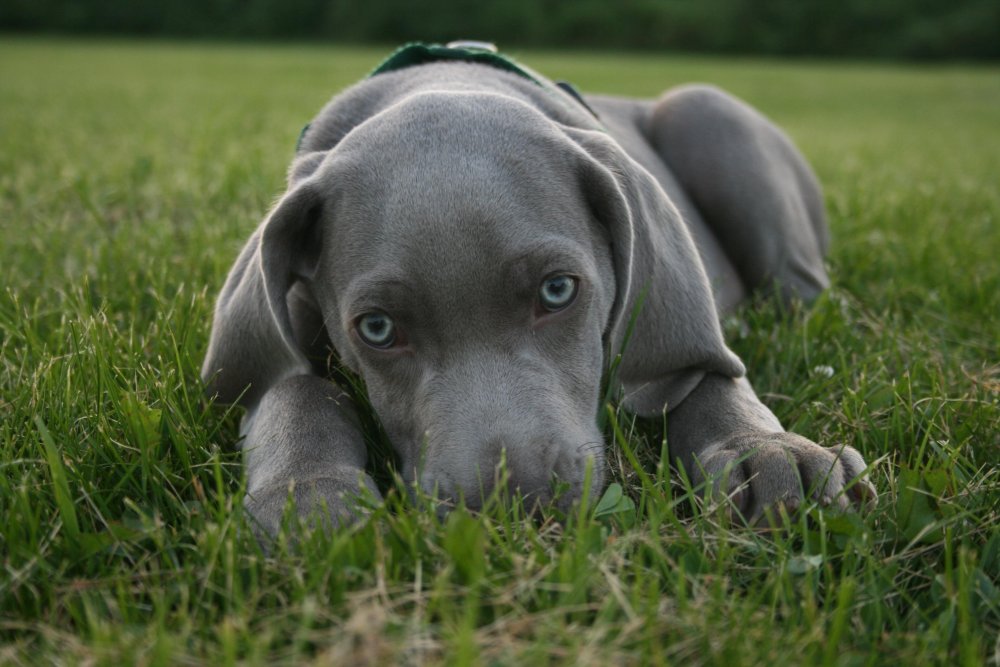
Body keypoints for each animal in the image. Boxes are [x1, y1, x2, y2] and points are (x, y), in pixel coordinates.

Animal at [201, 43, 876, 536]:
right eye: (377, 329)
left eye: (557, 291)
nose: (516, 504)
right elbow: (290, 387)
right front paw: (310, 496)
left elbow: (704, 371)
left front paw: (767, 453)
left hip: (708, 113)